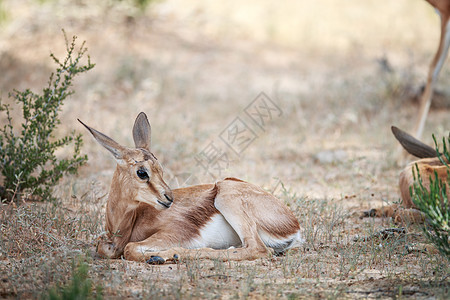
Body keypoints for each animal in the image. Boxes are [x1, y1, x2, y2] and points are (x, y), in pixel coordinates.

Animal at [79, 112, 304, 262]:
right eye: (142, 172)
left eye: (160, 168)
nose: (168, 198)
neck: (128, 223)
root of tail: (294, 224)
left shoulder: (173, 233)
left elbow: (130, 248)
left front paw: (158, 256)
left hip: (226, 197)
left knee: (258, 249)